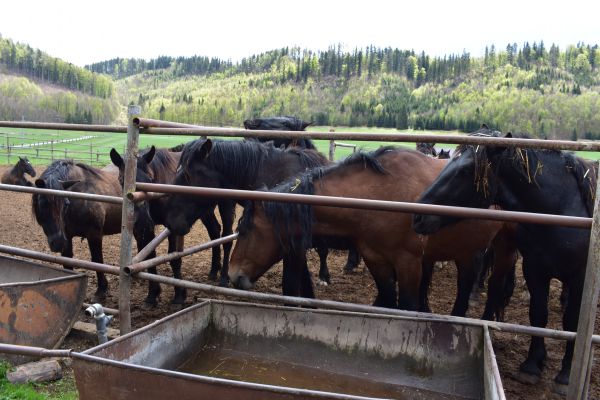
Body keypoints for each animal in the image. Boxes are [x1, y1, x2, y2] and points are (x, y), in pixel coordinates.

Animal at [31, 159, 154, 300]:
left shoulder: (94, 234)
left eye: (66, 203)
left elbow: (97, 260)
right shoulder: (67, 236)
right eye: (42, 204)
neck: (80, 195)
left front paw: (101, 290)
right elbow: (67, 260)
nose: (58, 242)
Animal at [229, 147, 516, 316]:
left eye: (246, 230)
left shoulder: (409, 263)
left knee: (492, 285)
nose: (233, 275)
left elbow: (407, 306)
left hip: (503, 247)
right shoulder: (376, 260)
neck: (379, 196)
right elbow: (387, 300)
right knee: (466, 282)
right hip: (466, 249)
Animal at [412, 127, 596, 388]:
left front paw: (567, 373)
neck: (564, 208)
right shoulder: (534, 270)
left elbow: (572, 322)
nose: (418, 215)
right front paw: (532, 364)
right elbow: (538, 313)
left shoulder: (580, 278)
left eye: (467, 170)